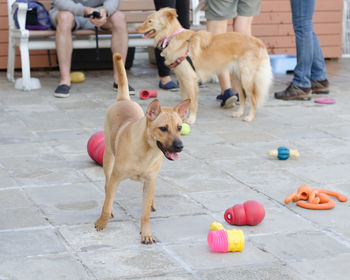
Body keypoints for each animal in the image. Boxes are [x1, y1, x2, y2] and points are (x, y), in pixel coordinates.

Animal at [94, 53, 190, 244]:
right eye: (163, 128)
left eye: (179, 128)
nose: (180, 147)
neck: (147, 151)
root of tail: (123, 99)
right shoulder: (116, 177)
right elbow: (107, 202)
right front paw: (102, 221)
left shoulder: (150, 180)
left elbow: (145, 213)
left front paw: (146, 234)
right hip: (108, 158)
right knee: (107, 187)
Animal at [137, 7, 274, 122]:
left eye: (149, 21)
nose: (136, 29)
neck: (172, 37)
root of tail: (258, 42)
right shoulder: (182, 80)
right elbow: (184, 100)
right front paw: (180, 117)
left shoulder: (190, 80)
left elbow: (192, 102)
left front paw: (191, 119)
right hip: (236, 78)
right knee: (243, 96)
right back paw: (239, 113)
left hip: (246, 79)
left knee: (253, 99)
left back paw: (250, 117)